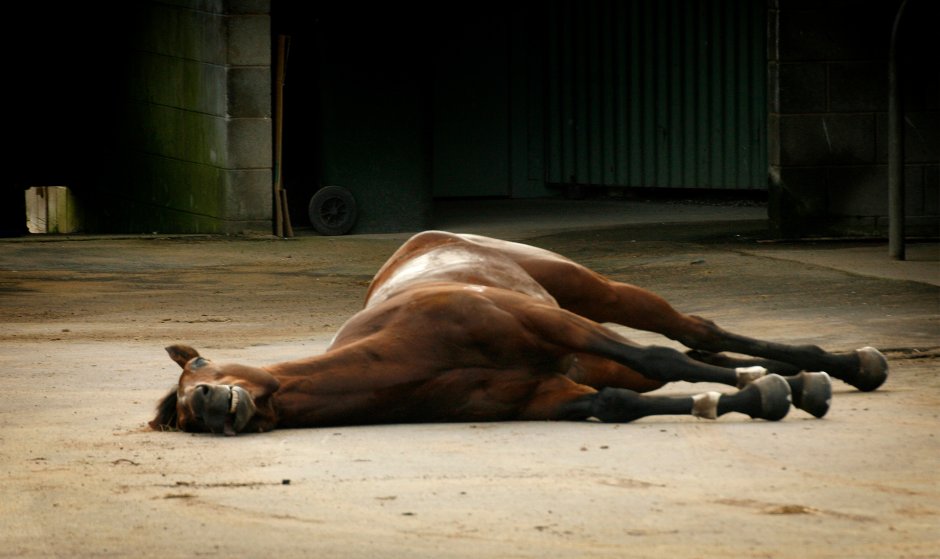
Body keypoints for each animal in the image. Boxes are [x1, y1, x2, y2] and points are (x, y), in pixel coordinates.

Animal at [151, 230, 884, 436]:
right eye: (184, 416)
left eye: (200, 372)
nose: (210, 405)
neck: (406, 356)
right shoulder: (547, 396)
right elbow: (621, 404)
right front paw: (767, 396)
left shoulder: (552, 324)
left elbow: (660, 353)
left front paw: (793, 384)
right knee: (687, 353)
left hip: (593, 296)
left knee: (685, 333)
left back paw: (846, 363)